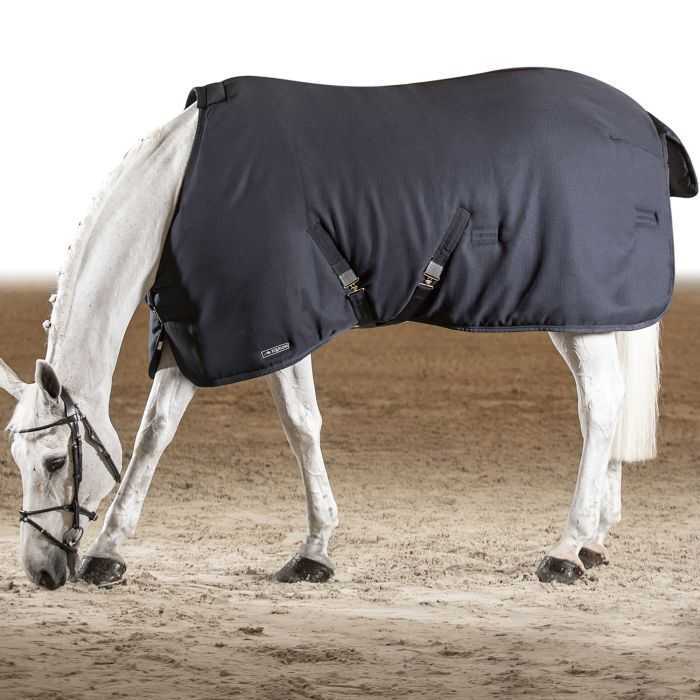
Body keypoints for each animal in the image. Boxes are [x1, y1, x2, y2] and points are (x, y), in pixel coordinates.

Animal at [0, 71, 690, 590]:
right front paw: (108, 553)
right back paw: (595, 540)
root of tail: (642, 119)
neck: (181, 187)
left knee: (600, 407)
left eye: (56, 460)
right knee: (601, 404)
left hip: (579, 315)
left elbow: (301, 426)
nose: (39, 572)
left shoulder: (271, 324)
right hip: (583, 316)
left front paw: (313, 552)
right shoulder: (198, 332)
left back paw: (566, 551)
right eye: (18, 459)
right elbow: (153, 435)